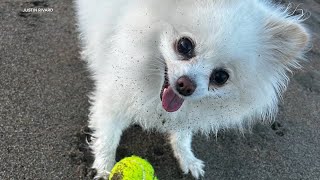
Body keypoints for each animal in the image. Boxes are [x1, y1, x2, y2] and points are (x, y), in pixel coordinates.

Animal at [75, 0, 310, 179]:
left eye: (221, 77)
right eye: (184, 45)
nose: (186, 86)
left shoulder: (185, 113)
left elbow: (182, 135)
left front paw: (187, 158)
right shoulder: (113, 99)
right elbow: (107, 138)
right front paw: (105, 168)